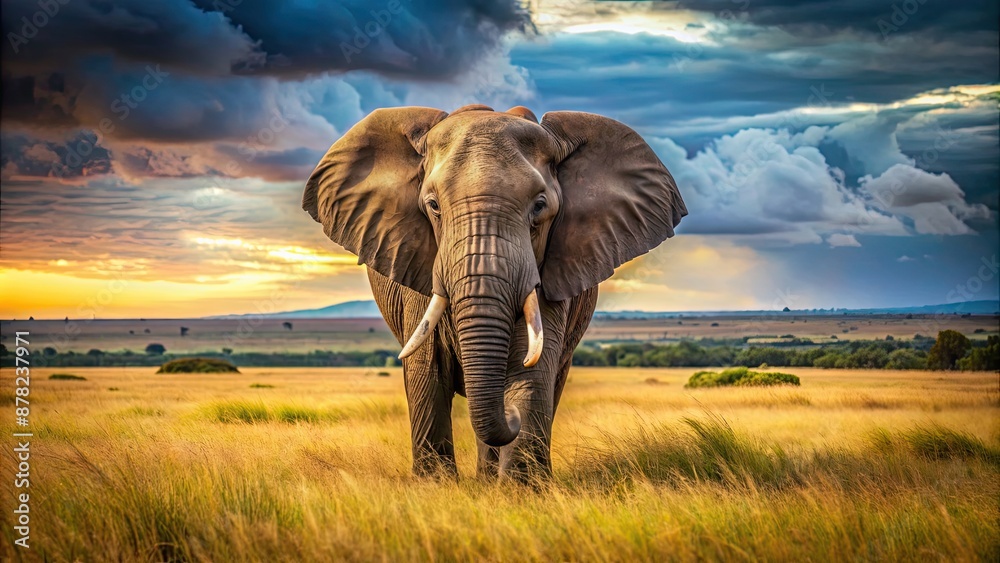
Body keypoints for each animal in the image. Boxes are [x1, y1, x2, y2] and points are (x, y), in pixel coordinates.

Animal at [302, 104, 686, 480]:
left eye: (539, 206)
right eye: (433, 206)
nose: (510, 413)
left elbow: (532, 369)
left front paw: (521, 488)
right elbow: (426, 370)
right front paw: (435, 486)